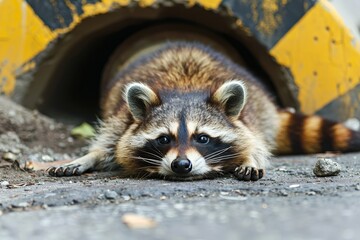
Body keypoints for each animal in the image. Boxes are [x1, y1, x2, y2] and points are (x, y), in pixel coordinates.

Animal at [47, 41, 360, 180]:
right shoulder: (121, 119)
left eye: (203, 138)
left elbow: (255, 143)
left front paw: (251, 157)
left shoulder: (249, 122)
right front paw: (89, 156)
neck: (184, 90)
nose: (181, 166)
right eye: (164, 139)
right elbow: (109, 145)